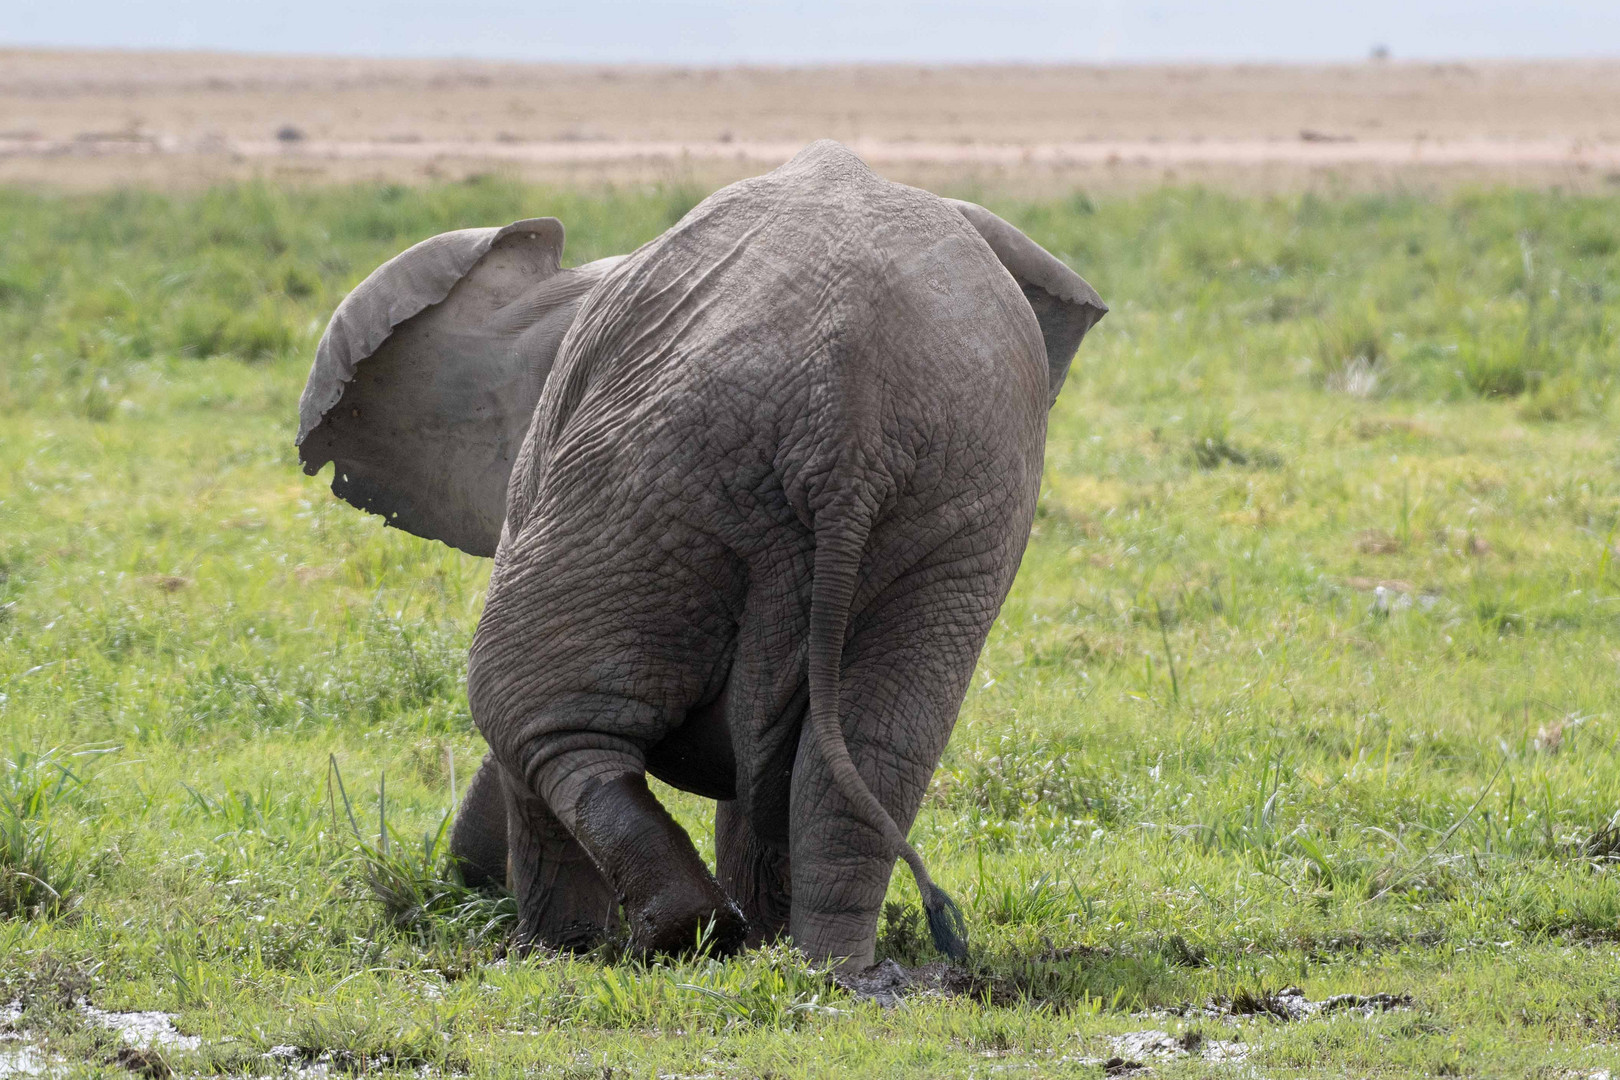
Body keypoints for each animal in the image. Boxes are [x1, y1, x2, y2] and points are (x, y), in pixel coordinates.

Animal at [294, 139, 1101, 965]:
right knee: (867, 751)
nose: (461, 881)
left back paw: (676, 931)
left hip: (660, 463)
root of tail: (847, 415)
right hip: (944, 494)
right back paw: (828, 967)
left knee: (527, 711)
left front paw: (556, 952)